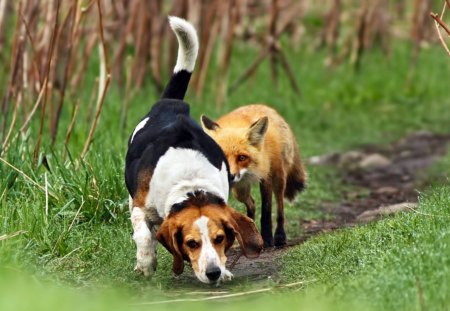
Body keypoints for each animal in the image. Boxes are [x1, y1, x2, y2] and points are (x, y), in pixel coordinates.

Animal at [200, 106, 306, 247]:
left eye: (242, 158)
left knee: (280, 207)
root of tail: (267, 107)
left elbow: (266, 211)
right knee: (252, 204)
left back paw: (279, 236)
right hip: (239, 191)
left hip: (279, 178)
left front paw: (267, 239)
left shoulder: (266, 177)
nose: (230, 176)